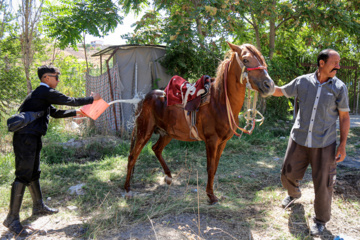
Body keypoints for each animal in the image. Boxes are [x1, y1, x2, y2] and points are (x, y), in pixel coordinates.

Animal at [124, 42, 276, 204]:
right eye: (246, 60)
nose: (269, 85)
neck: (220, 102)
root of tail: (144, 98)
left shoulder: (223, 142)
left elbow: (215, 168)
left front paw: (211, 193)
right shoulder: (211, 141)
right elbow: (210, 168)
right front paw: (211, 195)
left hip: (167, 133)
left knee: (156, 149)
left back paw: (169, 177)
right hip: (144, 131)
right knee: (133, 156)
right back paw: (127, 190)